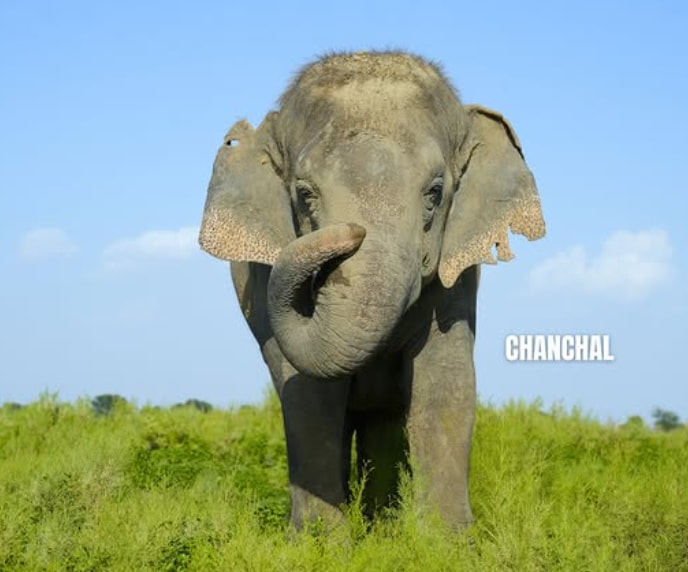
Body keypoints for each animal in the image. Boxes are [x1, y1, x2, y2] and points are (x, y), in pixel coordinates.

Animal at [199, 51, 545, 531]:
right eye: (305, 195)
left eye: (435, 193)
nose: (351, 231)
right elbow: (308, 395)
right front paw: (319, 543)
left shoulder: (456, 281)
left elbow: (446, 382)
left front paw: (445, 542)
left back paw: (383, 526)